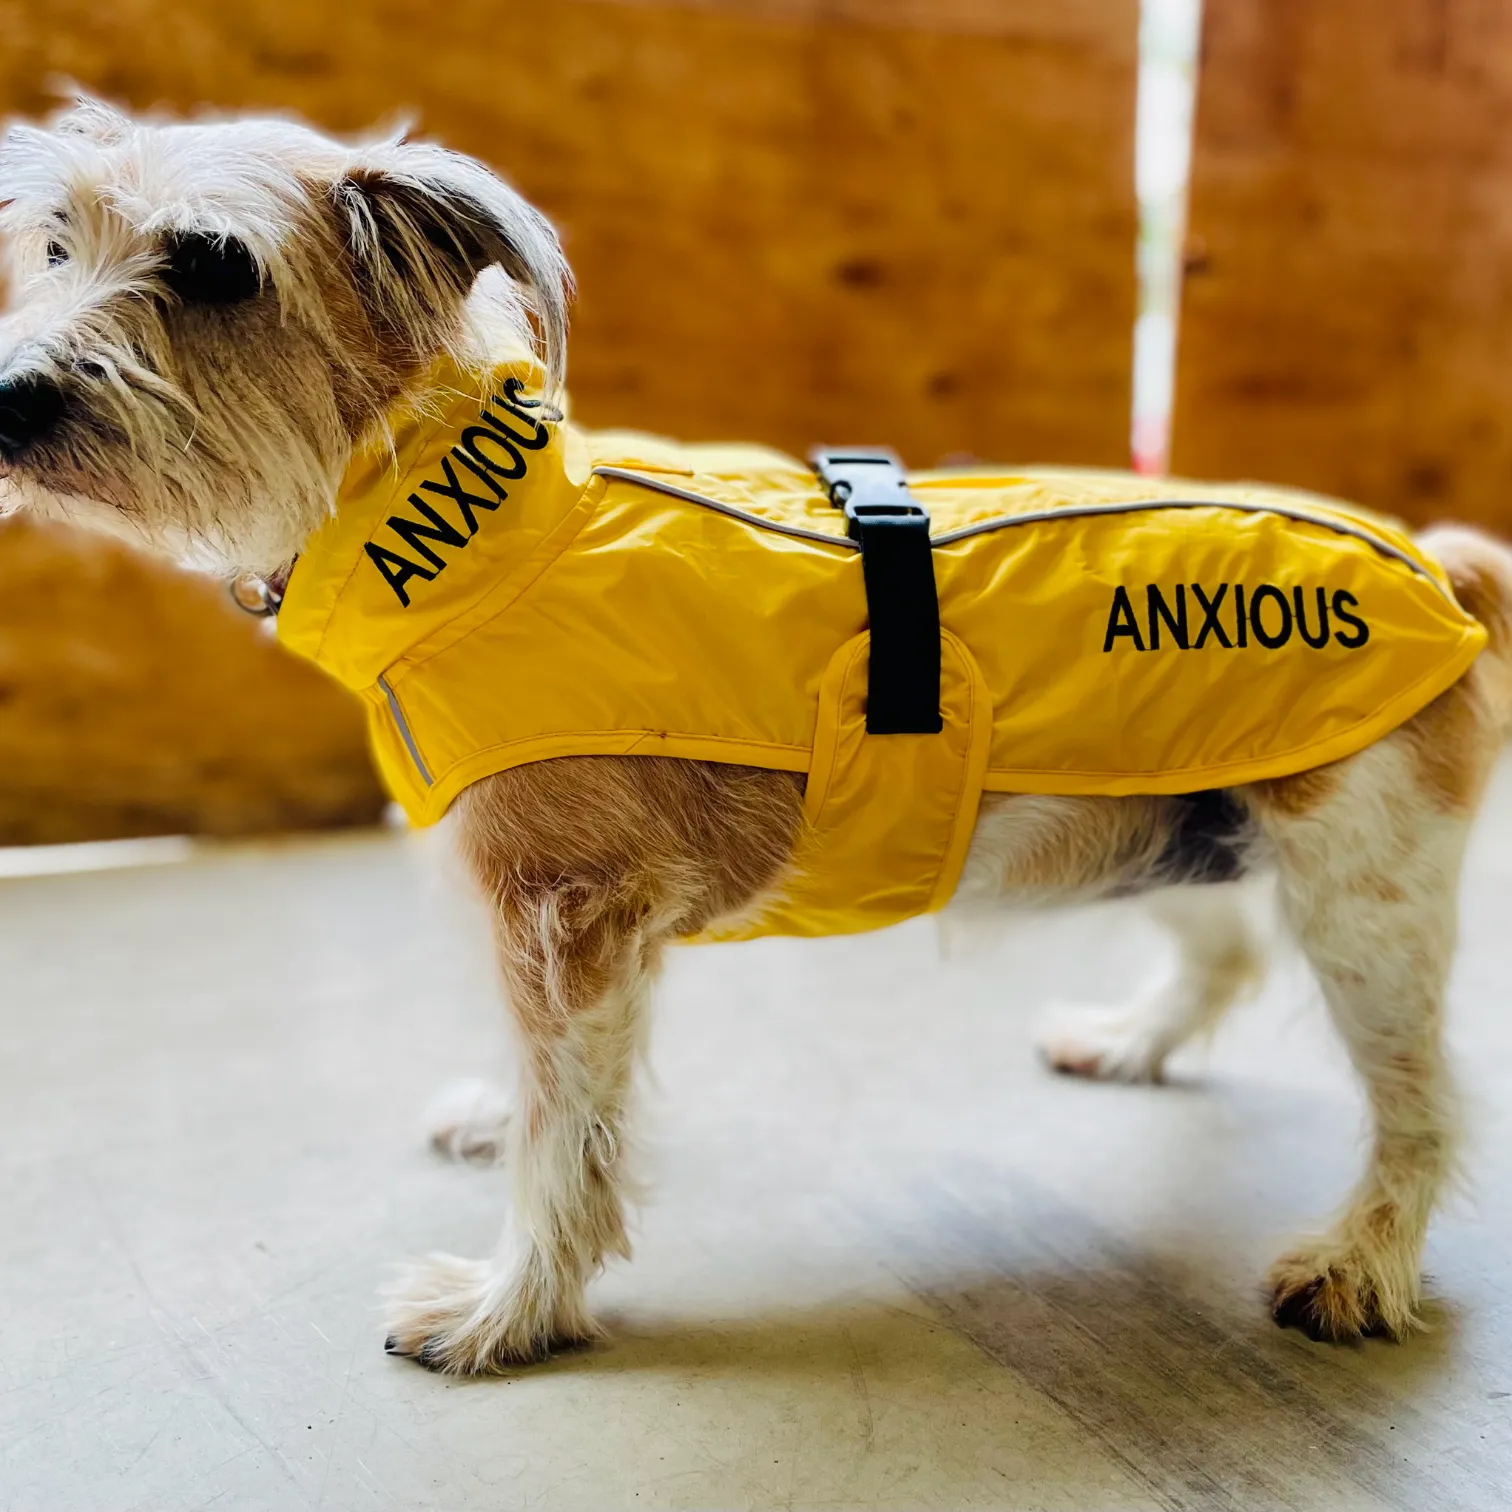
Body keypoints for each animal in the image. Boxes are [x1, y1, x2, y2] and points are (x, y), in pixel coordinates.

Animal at [2, 91, 1512, 1372]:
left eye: (214, 267)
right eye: (58, 241)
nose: (9, 397)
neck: (479, 531)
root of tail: (1440, 570)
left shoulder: (569, 923)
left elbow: (570, 1133)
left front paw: (512, 1308)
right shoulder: (543, 938)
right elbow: (543, 1090)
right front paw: (498, 1130)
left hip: (1362, 906)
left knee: (1424, 1105)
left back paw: (1361, 1261)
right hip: (1167, 817)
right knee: (1227, 948)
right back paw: (1136, 1041)